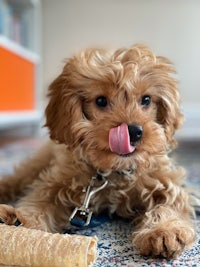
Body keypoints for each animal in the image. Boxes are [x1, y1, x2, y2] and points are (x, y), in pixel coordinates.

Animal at [0, 44, 195, 260]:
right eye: (101, 101)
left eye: (146, 100)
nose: (133, 131)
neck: (114, 171)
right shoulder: (57, 180)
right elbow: (40, 200)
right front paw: (23, 222)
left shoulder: (165, 180)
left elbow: (171, 203)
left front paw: (164, 230)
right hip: (37, 163)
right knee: (16, 179)